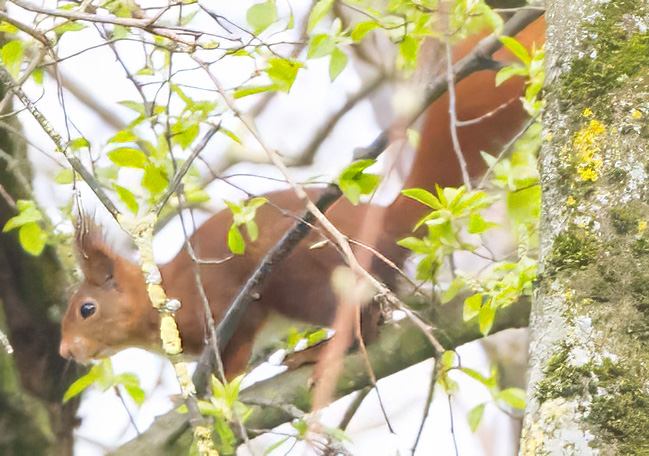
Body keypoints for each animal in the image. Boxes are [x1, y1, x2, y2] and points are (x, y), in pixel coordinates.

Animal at [58, 16, 544, 376]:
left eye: (86, 309)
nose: (66, 352)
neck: (162, 297)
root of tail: (387, 225)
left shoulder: (227, 303)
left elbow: (240, 341)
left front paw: (224, 379)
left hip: (307, 280)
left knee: (359, 323)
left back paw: (319, 352)